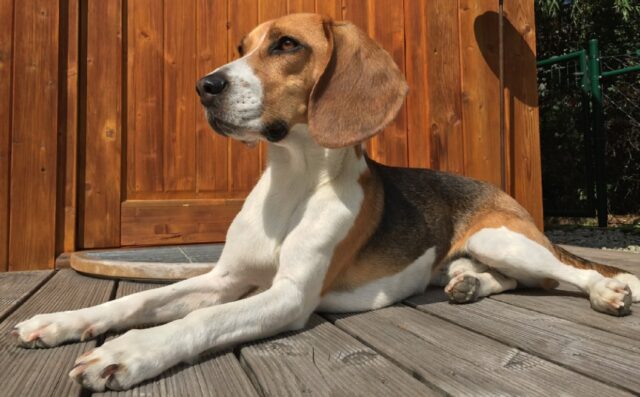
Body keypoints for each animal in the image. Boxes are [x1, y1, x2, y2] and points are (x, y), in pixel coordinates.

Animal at [11, 13, 640, 392]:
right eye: (240, 48)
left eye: (286, 45)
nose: (204, 87)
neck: (291, 182)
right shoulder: (223, 278)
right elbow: (138, 301)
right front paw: (65, 321)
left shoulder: (289, 296)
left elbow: (202, 320)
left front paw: (132, 352)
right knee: (507, 280)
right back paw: (467, 285)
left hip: (500, 236)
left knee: (571, 273)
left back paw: (607, 292)